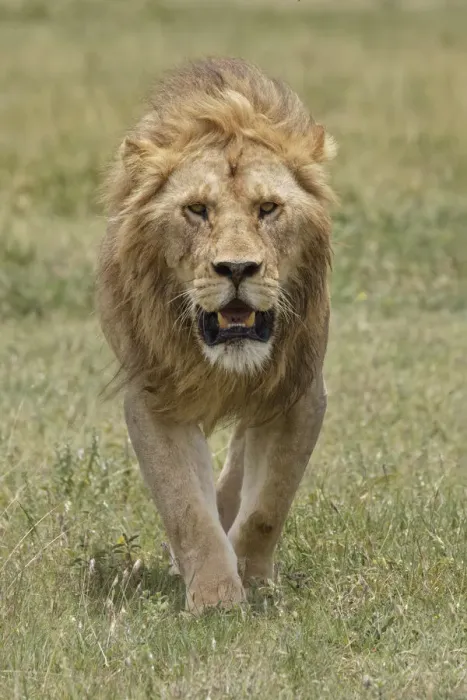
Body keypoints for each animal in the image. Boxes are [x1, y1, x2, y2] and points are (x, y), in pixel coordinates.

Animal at [97, 57, 336, 613]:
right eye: (197, 209)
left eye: (268, 208)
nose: (237, 268)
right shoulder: (155, 399)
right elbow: (186, 508)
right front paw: (215, 598)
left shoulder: (300, 393)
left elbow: (269, 503)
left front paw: (252, 578)